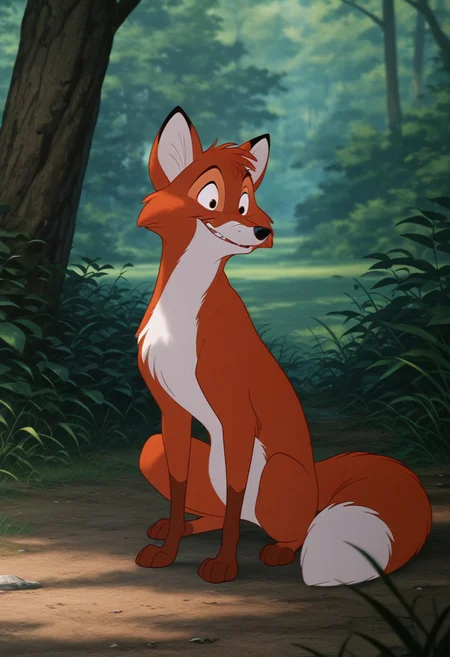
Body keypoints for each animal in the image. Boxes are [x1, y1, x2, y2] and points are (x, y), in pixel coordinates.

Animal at [134, 106, 432, 585]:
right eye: (212, 199)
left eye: (246, 201)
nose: (264, 230)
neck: (182, 311)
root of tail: (318, 478)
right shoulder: (172, 413)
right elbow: (180, 495)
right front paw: (168, 551)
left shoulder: (237, 418)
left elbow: (235, 503)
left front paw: (225, 565)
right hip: (154, 451)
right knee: (225, 514)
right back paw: (181, 527)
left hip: (275, 472)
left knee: (288, 526)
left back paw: (278, 549)